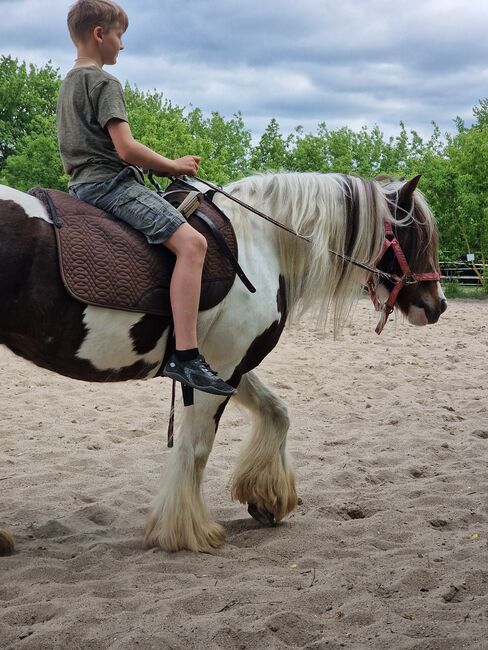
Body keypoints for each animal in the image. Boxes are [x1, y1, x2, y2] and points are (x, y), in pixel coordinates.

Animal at [0, 170, 446, 548]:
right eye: (416, 235)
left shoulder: (224, 366)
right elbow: (197, 447)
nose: (437, 305)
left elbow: (277, 411)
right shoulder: (223, 365)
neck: (260, 245)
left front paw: (265, 499)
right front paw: (184, 531)